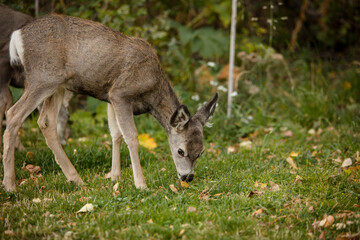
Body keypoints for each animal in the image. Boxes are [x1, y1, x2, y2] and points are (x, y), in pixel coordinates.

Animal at [2, 14, 218, 191]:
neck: (152, 92)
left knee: (45, 122)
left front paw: (115, 176)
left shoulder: (110, 97)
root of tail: (17, 36)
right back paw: (10, 185)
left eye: (201, 152)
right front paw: (140, 183)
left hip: (58, 85)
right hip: (43, 78)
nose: (187, 177)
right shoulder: (121, 94)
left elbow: (116, 134)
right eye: (180, 150)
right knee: (13, 114)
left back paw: (75, 179)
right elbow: (131, 136)